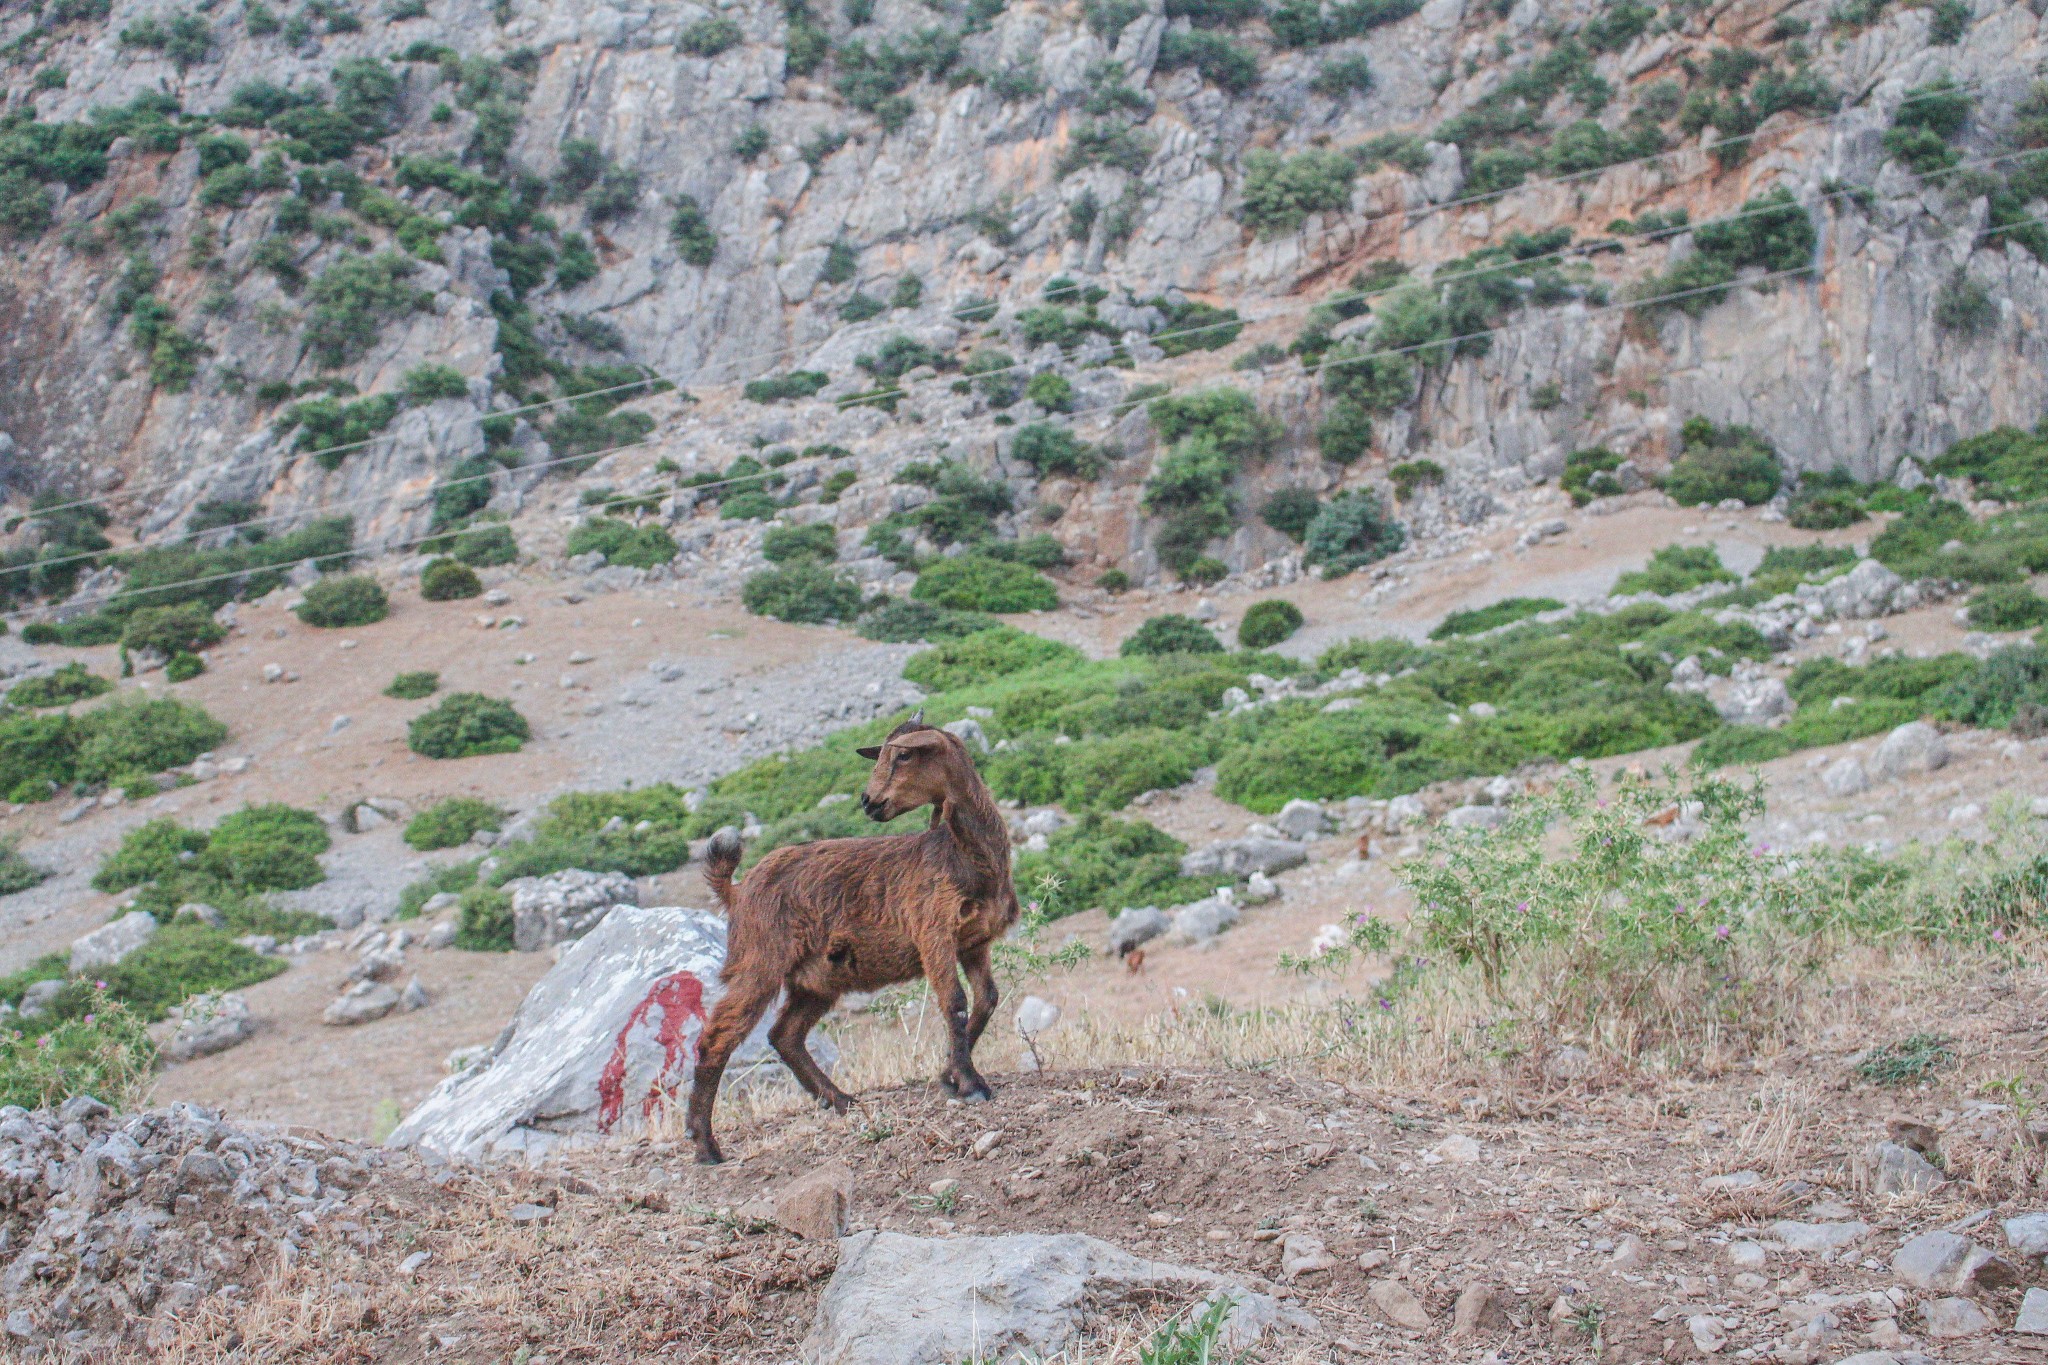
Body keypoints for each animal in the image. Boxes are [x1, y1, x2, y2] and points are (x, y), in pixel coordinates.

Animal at [688, 716, 1015, 1162]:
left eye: (903, 754)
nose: (868, 802)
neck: (963, 856)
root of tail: (738, 889)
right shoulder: (933, 934)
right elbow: (955, 1003)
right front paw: (969, 1085)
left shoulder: (975, 942)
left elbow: (986, 1000)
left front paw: (949, 1076)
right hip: (760, 961)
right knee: (718, 1035)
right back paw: (705, 1144)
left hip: (817, 978)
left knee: (784, 1035)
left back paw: (840, 1100)